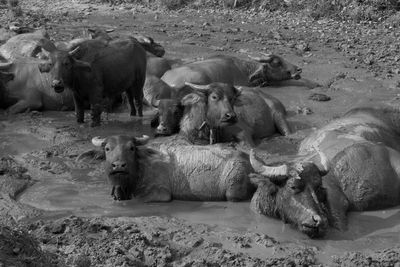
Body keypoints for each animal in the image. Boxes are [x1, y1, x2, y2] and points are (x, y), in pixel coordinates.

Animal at [90, 135, 253, 202]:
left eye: (131, 148)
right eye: (107, 148)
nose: (118, 165)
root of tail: (247, 158)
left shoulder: (161, 193)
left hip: (233, 189)